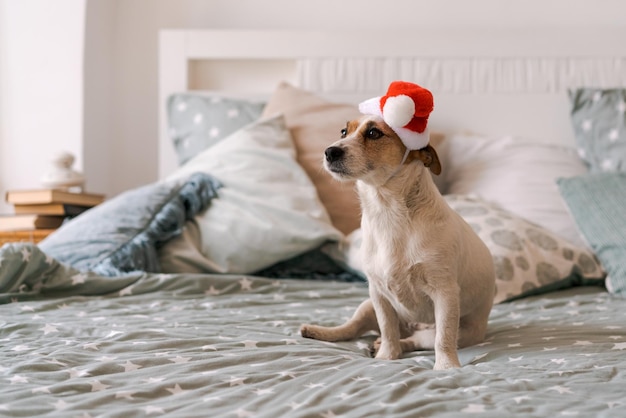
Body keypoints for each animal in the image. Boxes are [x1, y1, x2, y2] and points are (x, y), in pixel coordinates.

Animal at [300, 84, 494, 370]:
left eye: (373, 133)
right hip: (366, 305)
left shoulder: (445, 293)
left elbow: (443, 339)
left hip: (457, 331)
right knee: (353, 328)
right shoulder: (378, 293)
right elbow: (387, 328)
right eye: (344, 131)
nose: (329, 151)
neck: (388, 212)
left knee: (418, 340)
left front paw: (446, 368)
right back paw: (320, 332)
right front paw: (386, 358)